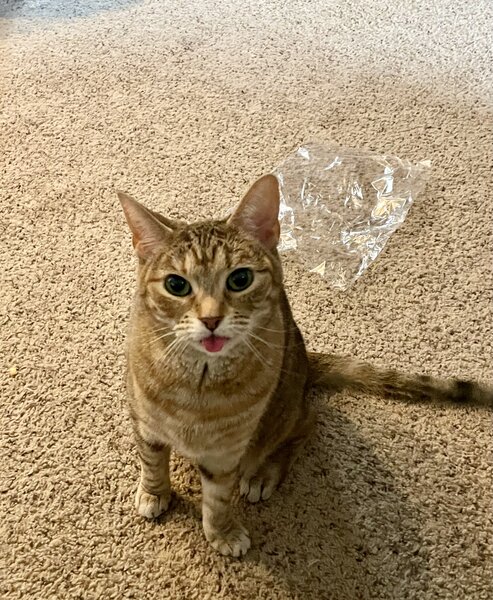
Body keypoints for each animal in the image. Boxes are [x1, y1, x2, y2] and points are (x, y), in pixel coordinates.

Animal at [117, 173, 490, 556]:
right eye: (176, 285)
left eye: (240, 279)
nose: (210, 319)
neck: (199, 380)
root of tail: (308, 364)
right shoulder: (145, 424)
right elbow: (152, 464)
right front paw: (154, 493)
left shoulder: (226, 452)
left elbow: (218, 500)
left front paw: (222, 532)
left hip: (282, 416)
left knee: (306, 424)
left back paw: (263, 473)